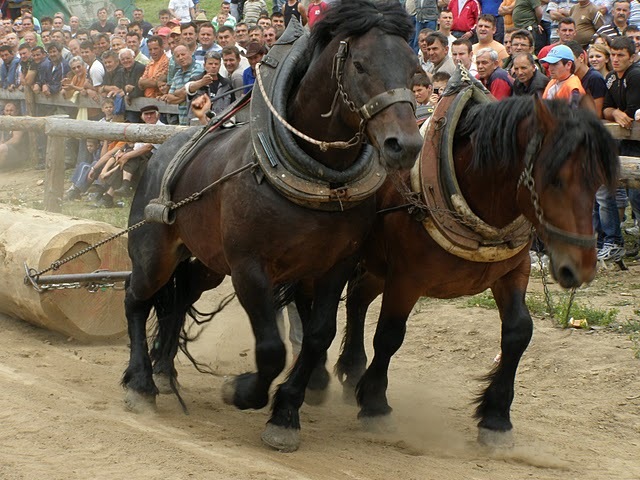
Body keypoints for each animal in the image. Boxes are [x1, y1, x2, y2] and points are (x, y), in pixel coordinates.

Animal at [122, 0, 422, 452]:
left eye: (413, 68)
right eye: (361, 65)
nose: (405, 145)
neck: (319, 179)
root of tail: (161, 149)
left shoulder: (335, 266)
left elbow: (317, 336)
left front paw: (285, 413)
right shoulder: (249, 268)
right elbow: (270, 347)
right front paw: (243, 391)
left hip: (208, 262)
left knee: (179, 295)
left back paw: (163, 367)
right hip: (154, 252)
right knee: (137, 298)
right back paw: (141, 383)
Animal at [332, 93, 616, 446]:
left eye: (598, 181)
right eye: (555, 180)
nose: (582, 268)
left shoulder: (513, 272)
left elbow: (519, 332)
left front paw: (496, 417)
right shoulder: (405, 278)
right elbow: (389, 334)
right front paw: (374, 403)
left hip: (376, 267)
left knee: (357, 298)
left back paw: (351, 369)